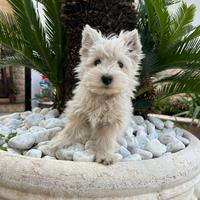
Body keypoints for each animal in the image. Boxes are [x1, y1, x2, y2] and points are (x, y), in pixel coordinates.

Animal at [47, 24, 143, 164]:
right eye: (97, 62)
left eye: (120, 64)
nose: (107, 78)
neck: (102, 97)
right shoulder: (78, 113)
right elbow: (69, 131)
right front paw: (56, 144)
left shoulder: (112, 122)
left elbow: (106, 140)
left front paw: (105, 155)